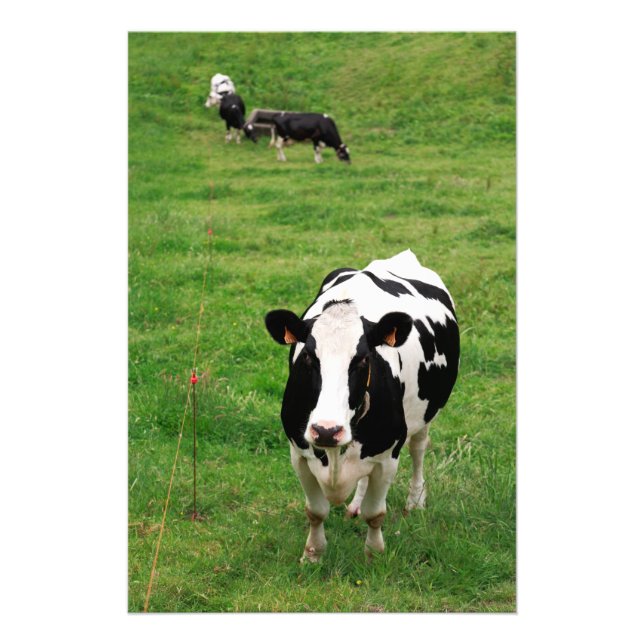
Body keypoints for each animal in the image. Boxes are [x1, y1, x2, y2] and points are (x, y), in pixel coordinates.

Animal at [264, 250, 460, 562]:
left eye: (363, 359)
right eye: (307, 356)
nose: (326, 431)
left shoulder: (388, 455)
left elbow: (375, 513)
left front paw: (374, 554)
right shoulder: (299, 454)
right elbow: (315, 511)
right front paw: (313, 553)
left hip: (424, 415)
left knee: (418, 449)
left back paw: (416, 500)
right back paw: (355, 504)